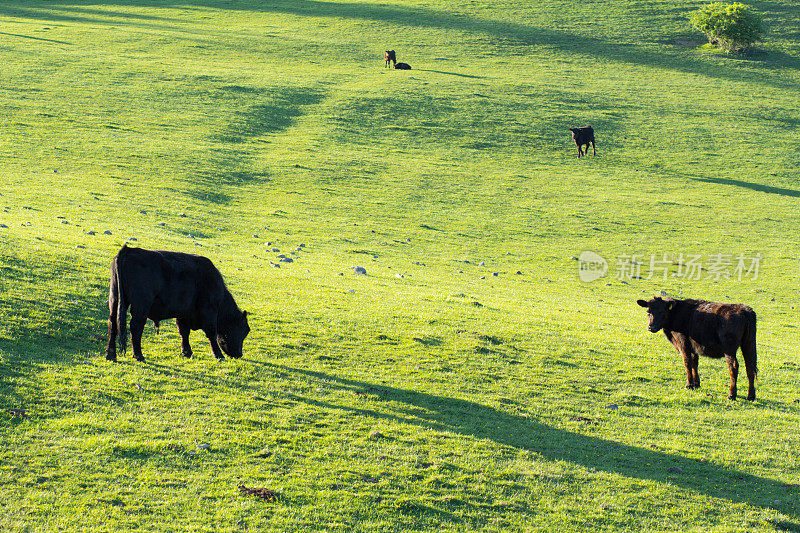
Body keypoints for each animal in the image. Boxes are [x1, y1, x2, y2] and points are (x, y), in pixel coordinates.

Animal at [107, 244, 250, 362]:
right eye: (243, 330)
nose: (239, 354)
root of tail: (128, 250)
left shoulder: (183, 313)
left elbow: (184, 332)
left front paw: (187, 352)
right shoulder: (209, 310)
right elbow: (211, 333)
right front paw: (218, 355)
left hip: (115, 298)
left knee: (113, 323)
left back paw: (111, 355)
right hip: (141, 304)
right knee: (136, 326)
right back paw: (139, 356)